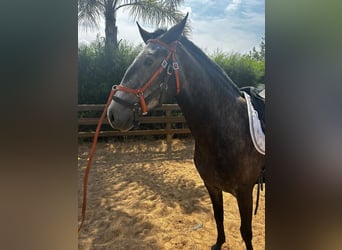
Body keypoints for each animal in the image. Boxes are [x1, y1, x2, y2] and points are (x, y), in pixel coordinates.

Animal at [106, 13, 264, 250]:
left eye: (149, 61)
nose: (113, 113)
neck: (228, 127)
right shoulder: (212, 186)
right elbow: (218, 217)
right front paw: (218, 243)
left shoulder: (245, 192)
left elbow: (246, 232)